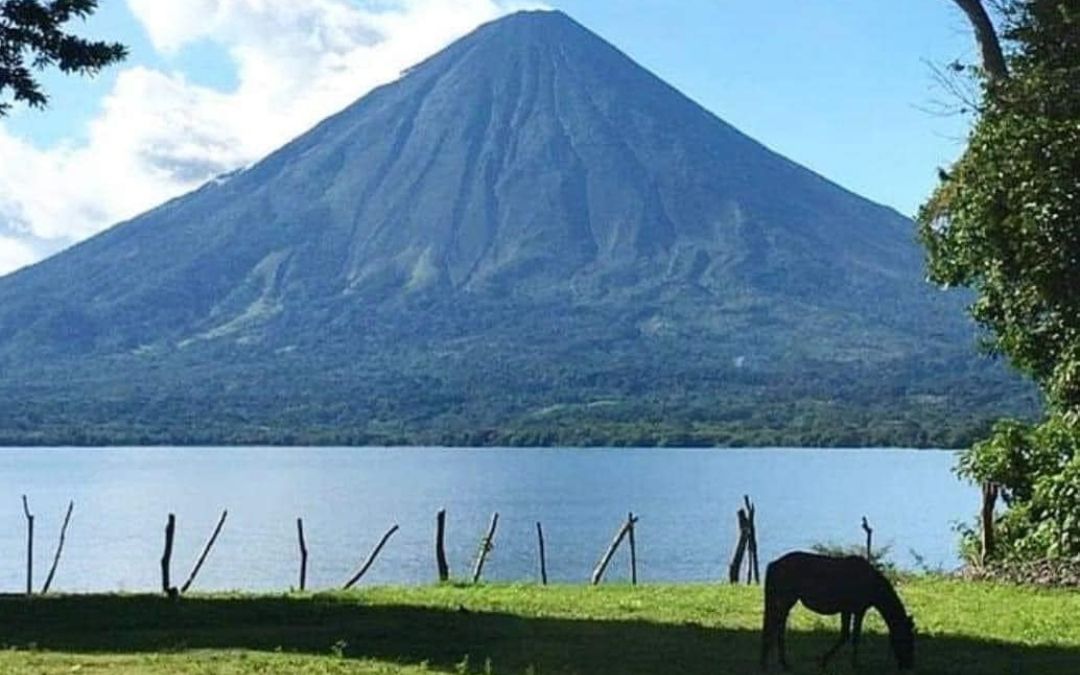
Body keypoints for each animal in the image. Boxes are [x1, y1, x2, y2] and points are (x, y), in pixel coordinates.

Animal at [760, 552, 911, 669]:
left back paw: (779, 663)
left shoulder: (848, 610)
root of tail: (774, 564)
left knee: (777, 628)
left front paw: (825, 662)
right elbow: (853, 637)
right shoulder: (858, 610)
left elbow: (845, 635)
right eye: (906, 639)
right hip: (786, 600)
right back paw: (775, 664)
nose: (908, 664)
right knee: (775, 628)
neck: (871, 583)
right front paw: (853, 664)